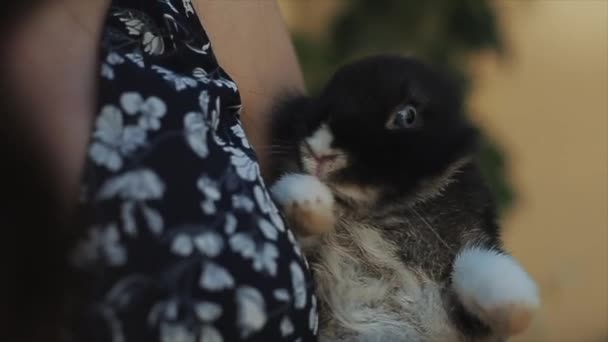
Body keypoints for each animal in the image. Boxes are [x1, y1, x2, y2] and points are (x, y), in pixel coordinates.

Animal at [268, 54, 540, 340]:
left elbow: (476, 263)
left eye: (406, 116)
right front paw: (308, 198)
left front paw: (515, 305)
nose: (320, 154)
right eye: (323, 96)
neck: (379, 213)